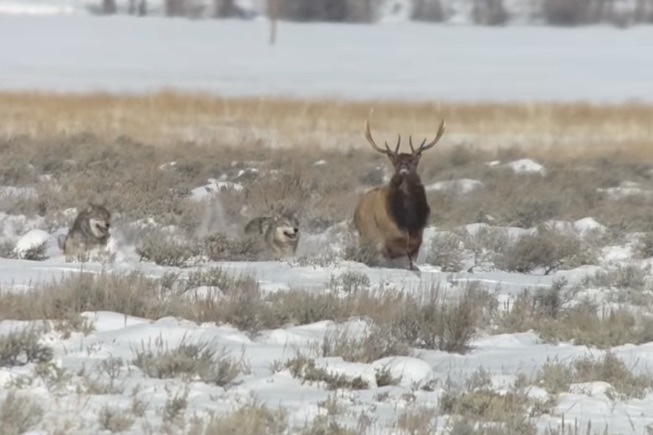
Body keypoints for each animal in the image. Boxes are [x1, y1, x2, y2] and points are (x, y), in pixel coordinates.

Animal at [354, 117, 446, 270]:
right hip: (364, 235)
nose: (403, 167)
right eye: (395, 162)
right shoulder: (391, 235)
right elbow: (398, 247)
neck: (408, 219)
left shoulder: (418, 236)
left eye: (413, 161)